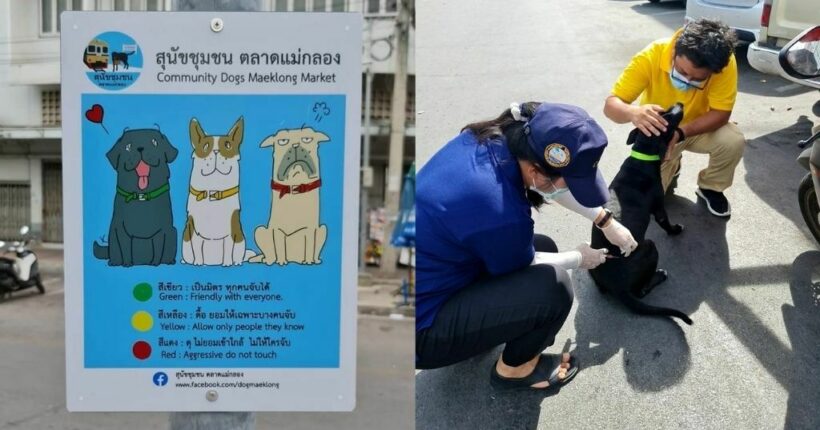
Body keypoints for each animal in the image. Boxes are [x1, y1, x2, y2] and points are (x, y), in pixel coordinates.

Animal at [95, 127, 180, 266]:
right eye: (128, 147)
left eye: (155, 143)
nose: (140, 147)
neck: (142, 195)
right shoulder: (121, 229)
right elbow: (125, 247)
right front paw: (127, 264)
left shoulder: (161, 230)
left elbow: (158, 246)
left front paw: (155, 263)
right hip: (112, 233)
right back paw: (114, 262)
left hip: (173, 232)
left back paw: (168, 261)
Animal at [588, 103, 692, 326]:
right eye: (666, 118)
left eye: (662, 111)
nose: (679, 104)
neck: (643, 155)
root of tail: (618, 288)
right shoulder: (659, 209)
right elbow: (666, 223)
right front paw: (676, 229)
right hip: (650, 247)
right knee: (642, 291)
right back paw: (660, 275)